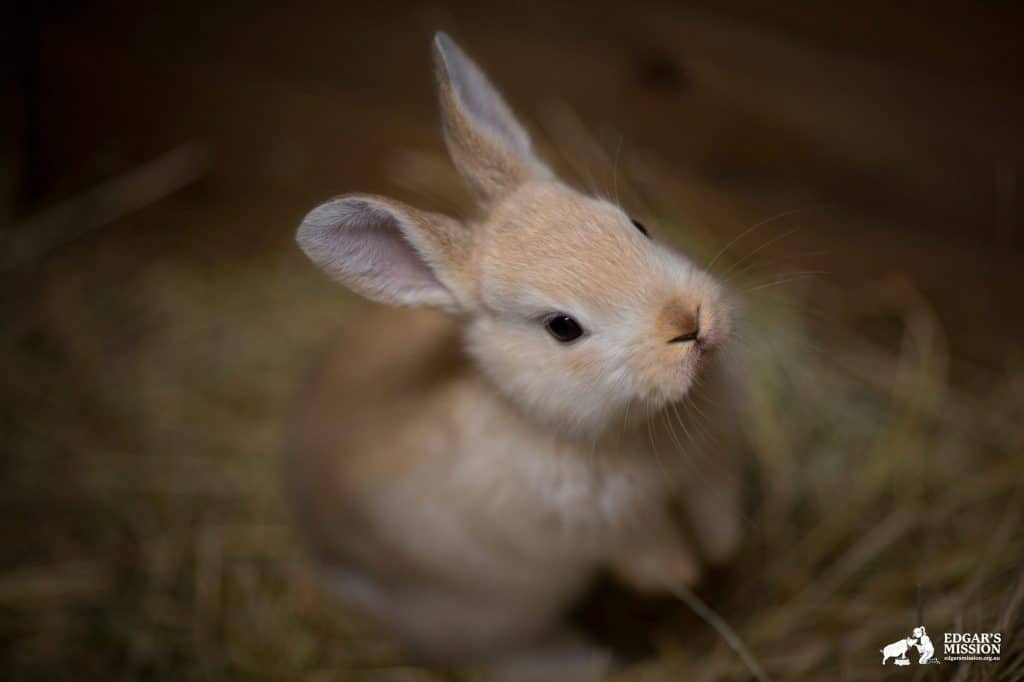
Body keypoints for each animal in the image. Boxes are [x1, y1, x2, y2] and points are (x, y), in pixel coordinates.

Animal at [288, 30, 745, 675]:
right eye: (562, 327)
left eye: (636, 224)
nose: (690, 324)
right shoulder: (615, 527)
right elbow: (649, 558)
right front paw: (684, 575)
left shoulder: (711, 460)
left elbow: (718, 508)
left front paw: (723, 552)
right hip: (484, 614)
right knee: (493, 653)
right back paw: (583, 661)